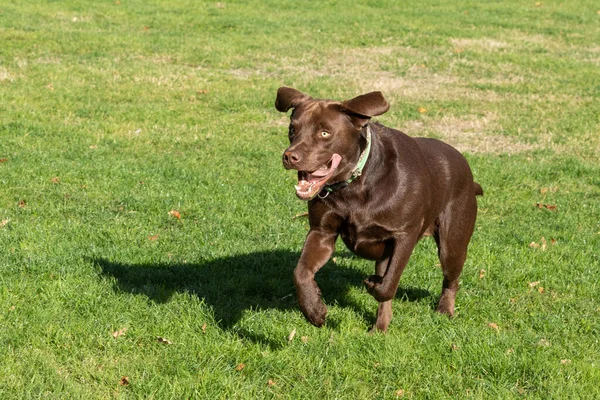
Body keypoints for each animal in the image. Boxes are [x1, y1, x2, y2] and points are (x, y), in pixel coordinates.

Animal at [276, 86, 482, 332]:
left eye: (325, 133)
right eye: (292, 129)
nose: (289, 156)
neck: (356, 183)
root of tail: (465, 166)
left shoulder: (404, 235)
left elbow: (388, 285)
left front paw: (372, 284)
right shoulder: (322, 232)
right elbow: (301, 272)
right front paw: (314, 310)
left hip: (452, 243)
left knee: (451, 279)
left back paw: (444, 310)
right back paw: (379, 328)